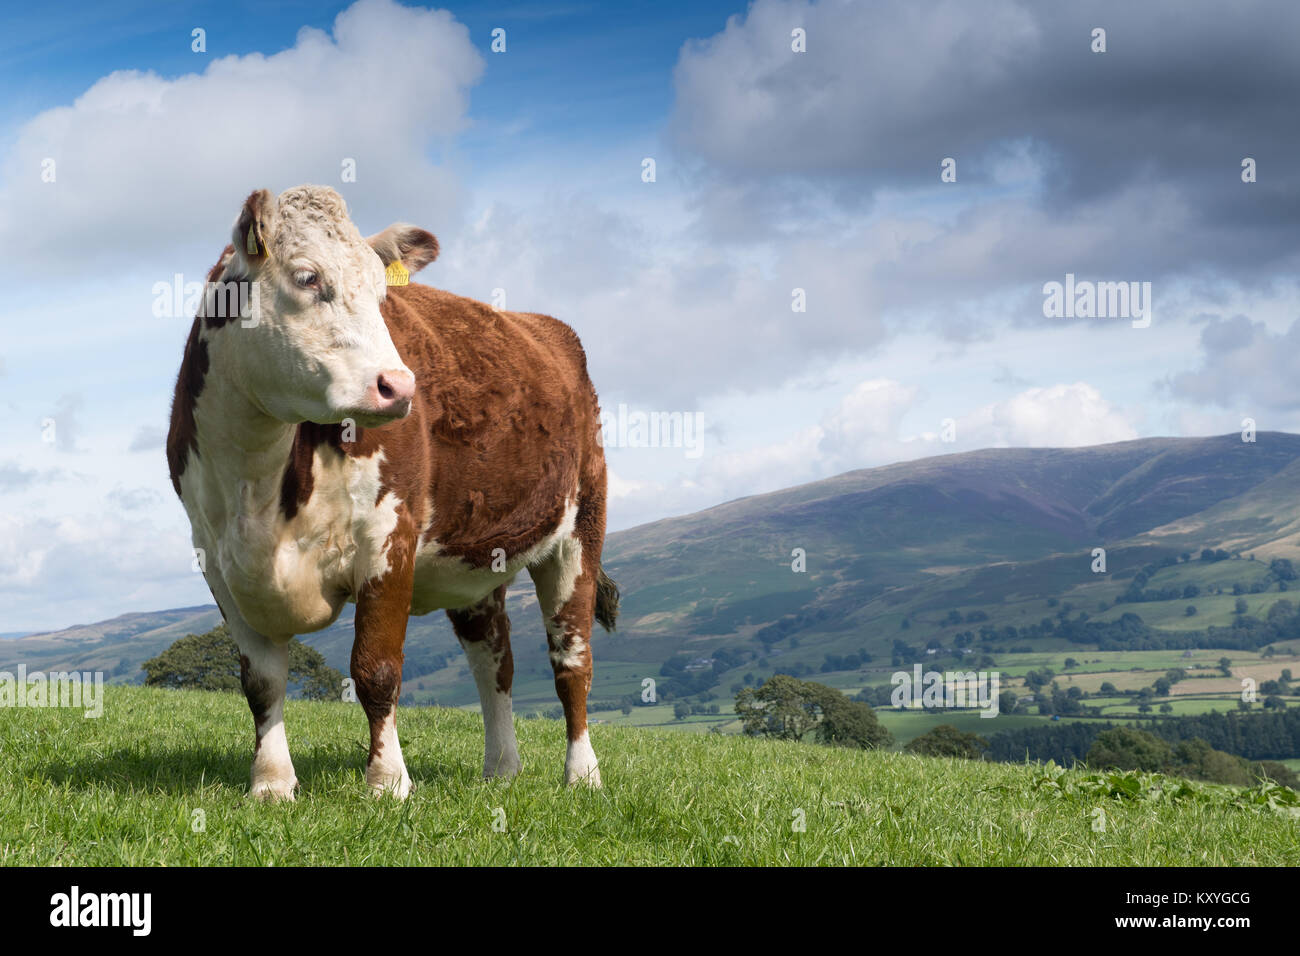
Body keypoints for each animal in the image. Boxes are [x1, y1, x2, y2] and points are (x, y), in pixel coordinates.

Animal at [166, 185, 618, 800]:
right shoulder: (216, 559)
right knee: (493, 663)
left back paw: (583, 775)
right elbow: (261, 681)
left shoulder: (388, 536)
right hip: (476, 559)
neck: (255, 483)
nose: (400, 386)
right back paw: (501, 770)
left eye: (383, 294)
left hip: (579, 531)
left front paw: (388, 782)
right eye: (307, 277)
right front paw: (272, 783)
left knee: (572, 661)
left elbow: (375, 670)